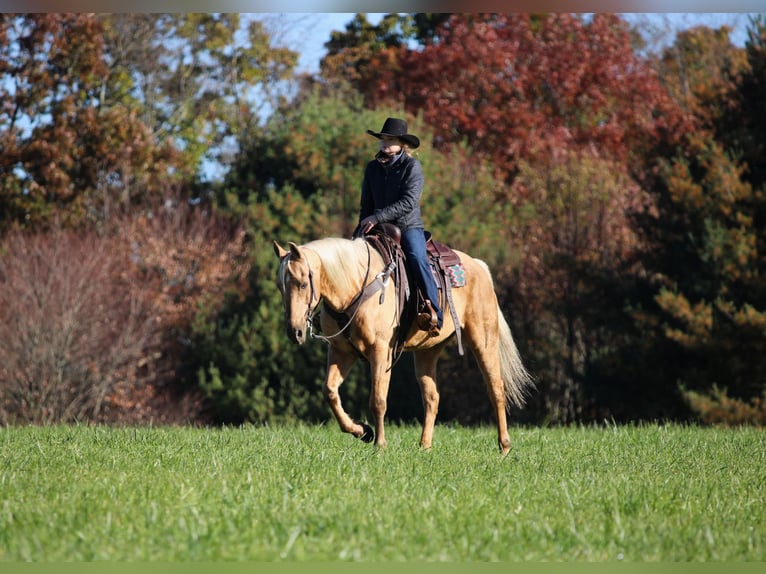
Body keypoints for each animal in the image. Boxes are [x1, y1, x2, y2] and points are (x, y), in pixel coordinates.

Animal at [272, 234, 534, 454]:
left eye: (302, 283)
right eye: (280, 287)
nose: (294, 332)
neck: (356, 288)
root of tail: (479, 267)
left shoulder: (381, 352)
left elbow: (378, 400)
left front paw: (379, 444)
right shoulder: (341, 352)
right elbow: (330, 391)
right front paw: (362, 431)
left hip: (483, 341)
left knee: (496, 389)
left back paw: (504, 446)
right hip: (428, 352)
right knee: (432, 397)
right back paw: (424, 446)